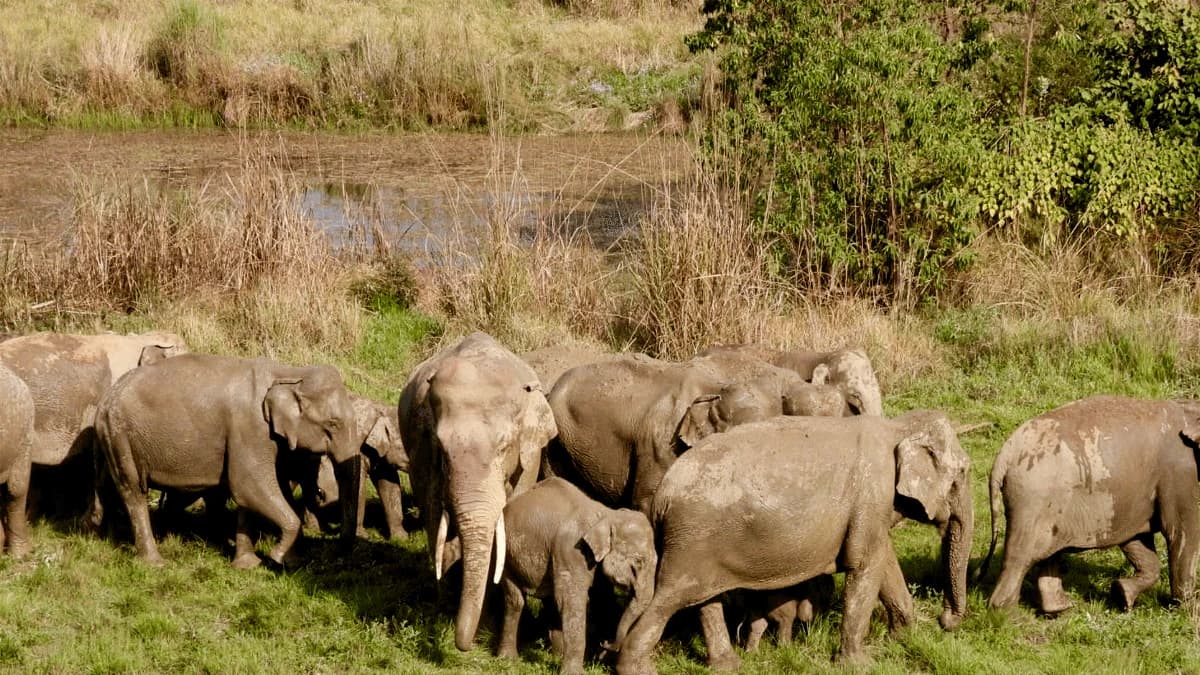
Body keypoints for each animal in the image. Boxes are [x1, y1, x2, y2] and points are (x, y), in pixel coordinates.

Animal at [92, 354, 361, 568]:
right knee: (134, 490)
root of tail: (106, 399)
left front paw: (250, 565)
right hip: (121, 435)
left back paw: (106, 538)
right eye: (333, 424)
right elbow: (248, 484)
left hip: (113, 439)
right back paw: (153, 563)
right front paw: (277, 559)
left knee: (108, 485)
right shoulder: (249, 428)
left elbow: (247, 494)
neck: (289, 372)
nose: (335, 553)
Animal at [399, 331, 557, 651]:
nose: (464, 646)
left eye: (504, 448)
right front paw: (445, 609)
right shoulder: (422, 452)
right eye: (442, 451)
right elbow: (435, 518)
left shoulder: (528, 458)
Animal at [497, 477, 656, 674]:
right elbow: (572, 600)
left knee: (552, 601)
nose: (606, 643)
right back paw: (508, 659)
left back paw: (556, 656)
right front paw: (575, 672)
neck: (608, 514)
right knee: (516, 600)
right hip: (506, 553)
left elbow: (599, 597)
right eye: (638, 562)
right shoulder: (571, 550)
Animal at [615, 410, 974, 672]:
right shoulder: (873, 494)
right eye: (962, 473)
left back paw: (728, 665)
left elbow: (883, 563)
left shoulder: (874, 508)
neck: (896, 426)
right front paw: (859, 663)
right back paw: (636, 668)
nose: (945, 621)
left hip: (700, 544)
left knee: (703, 600)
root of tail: (662, 495)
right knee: (667, 601)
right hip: (692, 539)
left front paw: (903, 637)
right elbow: (865, 567)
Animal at [981, 396, 1200, 614]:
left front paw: (1121, 595)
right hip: (1032, 498)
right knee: (1021, 556)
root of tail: (1004, 455)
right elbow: (1181, 532)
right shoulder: (1180, 473)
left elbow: (1136, 540)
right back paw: (1009, 615)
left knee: (1048, 552)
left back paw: (1058, 610)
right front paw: (1188, 611)